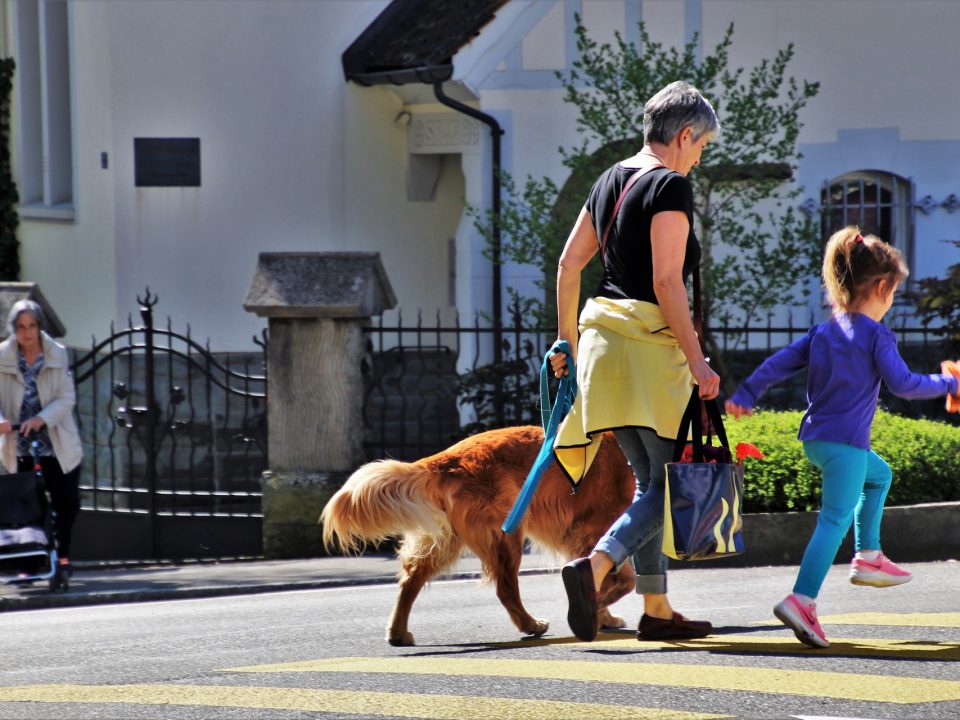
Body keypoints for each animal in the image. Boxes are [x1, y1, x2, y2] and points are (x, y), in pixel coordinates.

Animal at [322, 428, 636, 648]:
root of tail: (446, 459)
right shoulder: (594, 528)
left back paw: (398, 633)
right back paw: (531, 624)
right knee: (505, 589)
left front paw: (601, 615)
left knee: (410, 580)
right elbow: (622, 580)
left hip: (447, 540)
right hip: (505, 534)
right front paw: (596, 610)